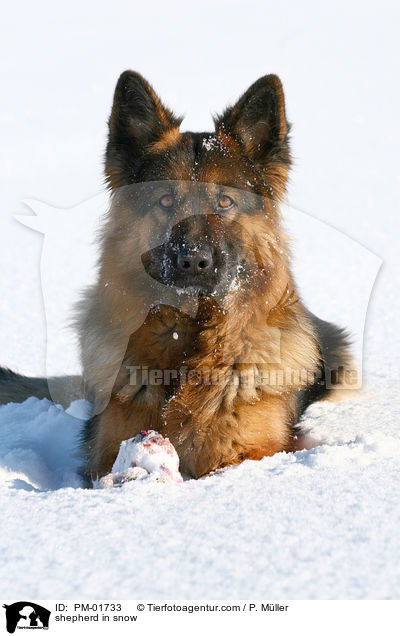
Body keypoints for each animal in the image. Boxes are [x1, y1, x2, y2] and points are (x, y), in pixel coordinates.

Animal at [0, 72, 352, 482]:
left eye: (225, 202)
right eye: (166, 200)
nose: (193, 261)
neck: (189, 340)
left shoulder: (248, 453)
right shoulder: (105, 452)